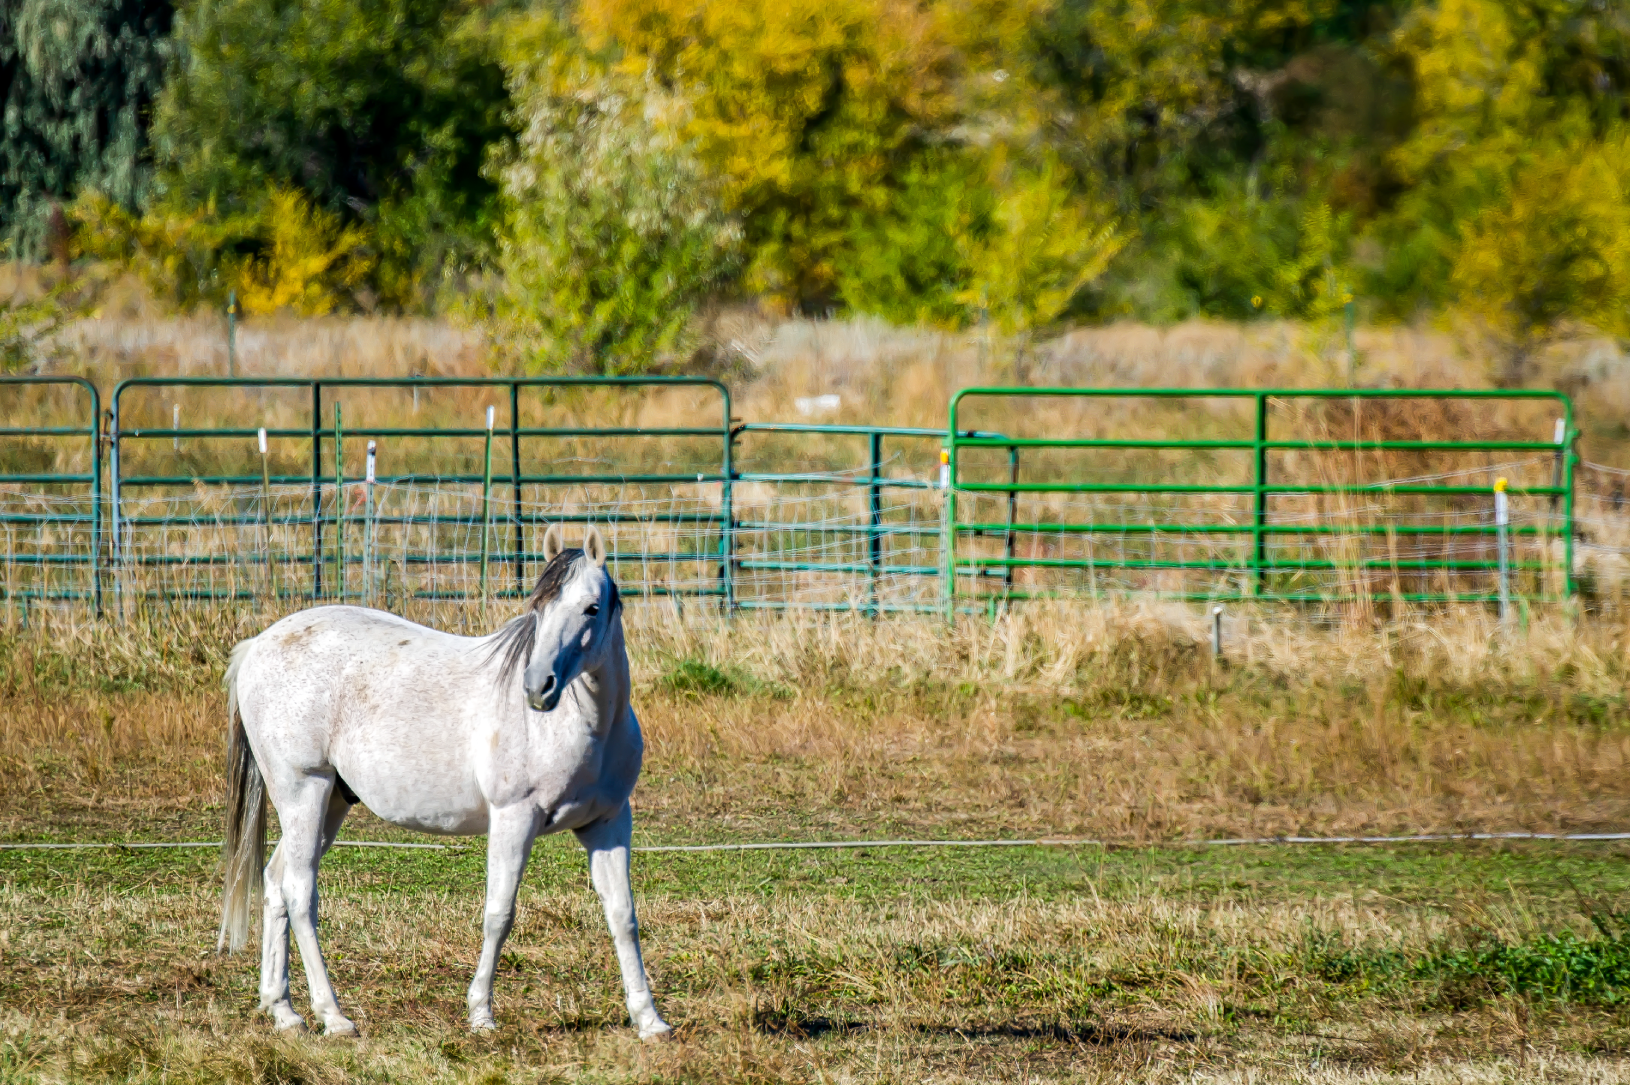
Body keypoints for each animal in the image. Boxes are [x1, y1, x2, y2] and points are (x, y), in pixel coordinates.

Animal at [216, 524, 671, 1040]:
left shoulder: (608, 824)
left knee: (275, 883)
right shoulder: (514, 819)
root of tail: (258, 645)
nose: (537, 687)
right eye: (538, 606)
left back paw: (284, 1012)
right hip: (303, 793)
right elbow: (499, 914)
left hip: (330, 802)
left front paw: (650, 1020)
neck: (584, 725)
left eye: (592, 607)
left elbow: (623, 916)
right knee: (299, 893)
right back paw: (333, 1016)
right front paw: (481, 1014)